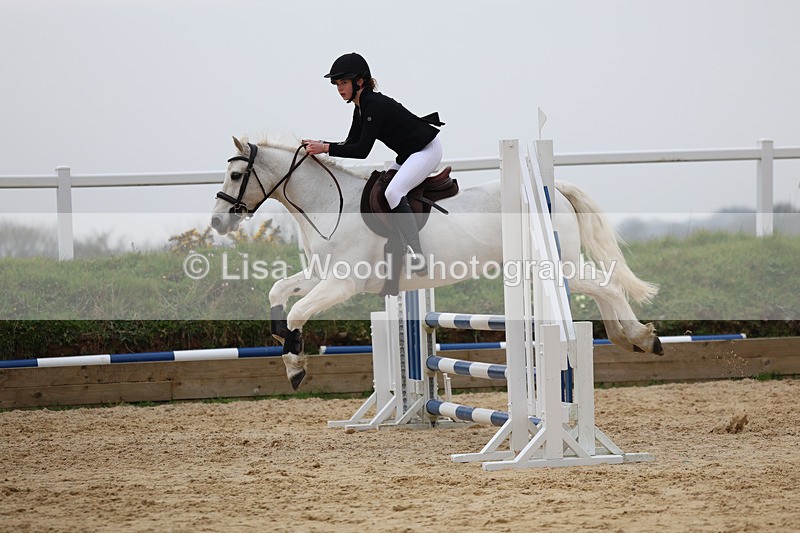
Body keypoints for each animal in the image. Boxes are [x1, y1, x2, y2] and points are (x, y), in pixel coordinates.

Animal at [211, 136, 662, 390]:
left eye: (235, 177)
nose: (217, 222)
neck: (329, 204)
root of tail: (552, 189)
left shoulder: (342, 284)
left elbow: (298, 312)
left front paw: (295, 368)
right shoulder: (321, 276)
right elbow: (279, 293)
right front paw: (286, 350)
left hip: (555, 267)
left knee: (606, 287)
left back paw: (641, 337)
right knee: (602, 290)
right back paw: (627, 337)